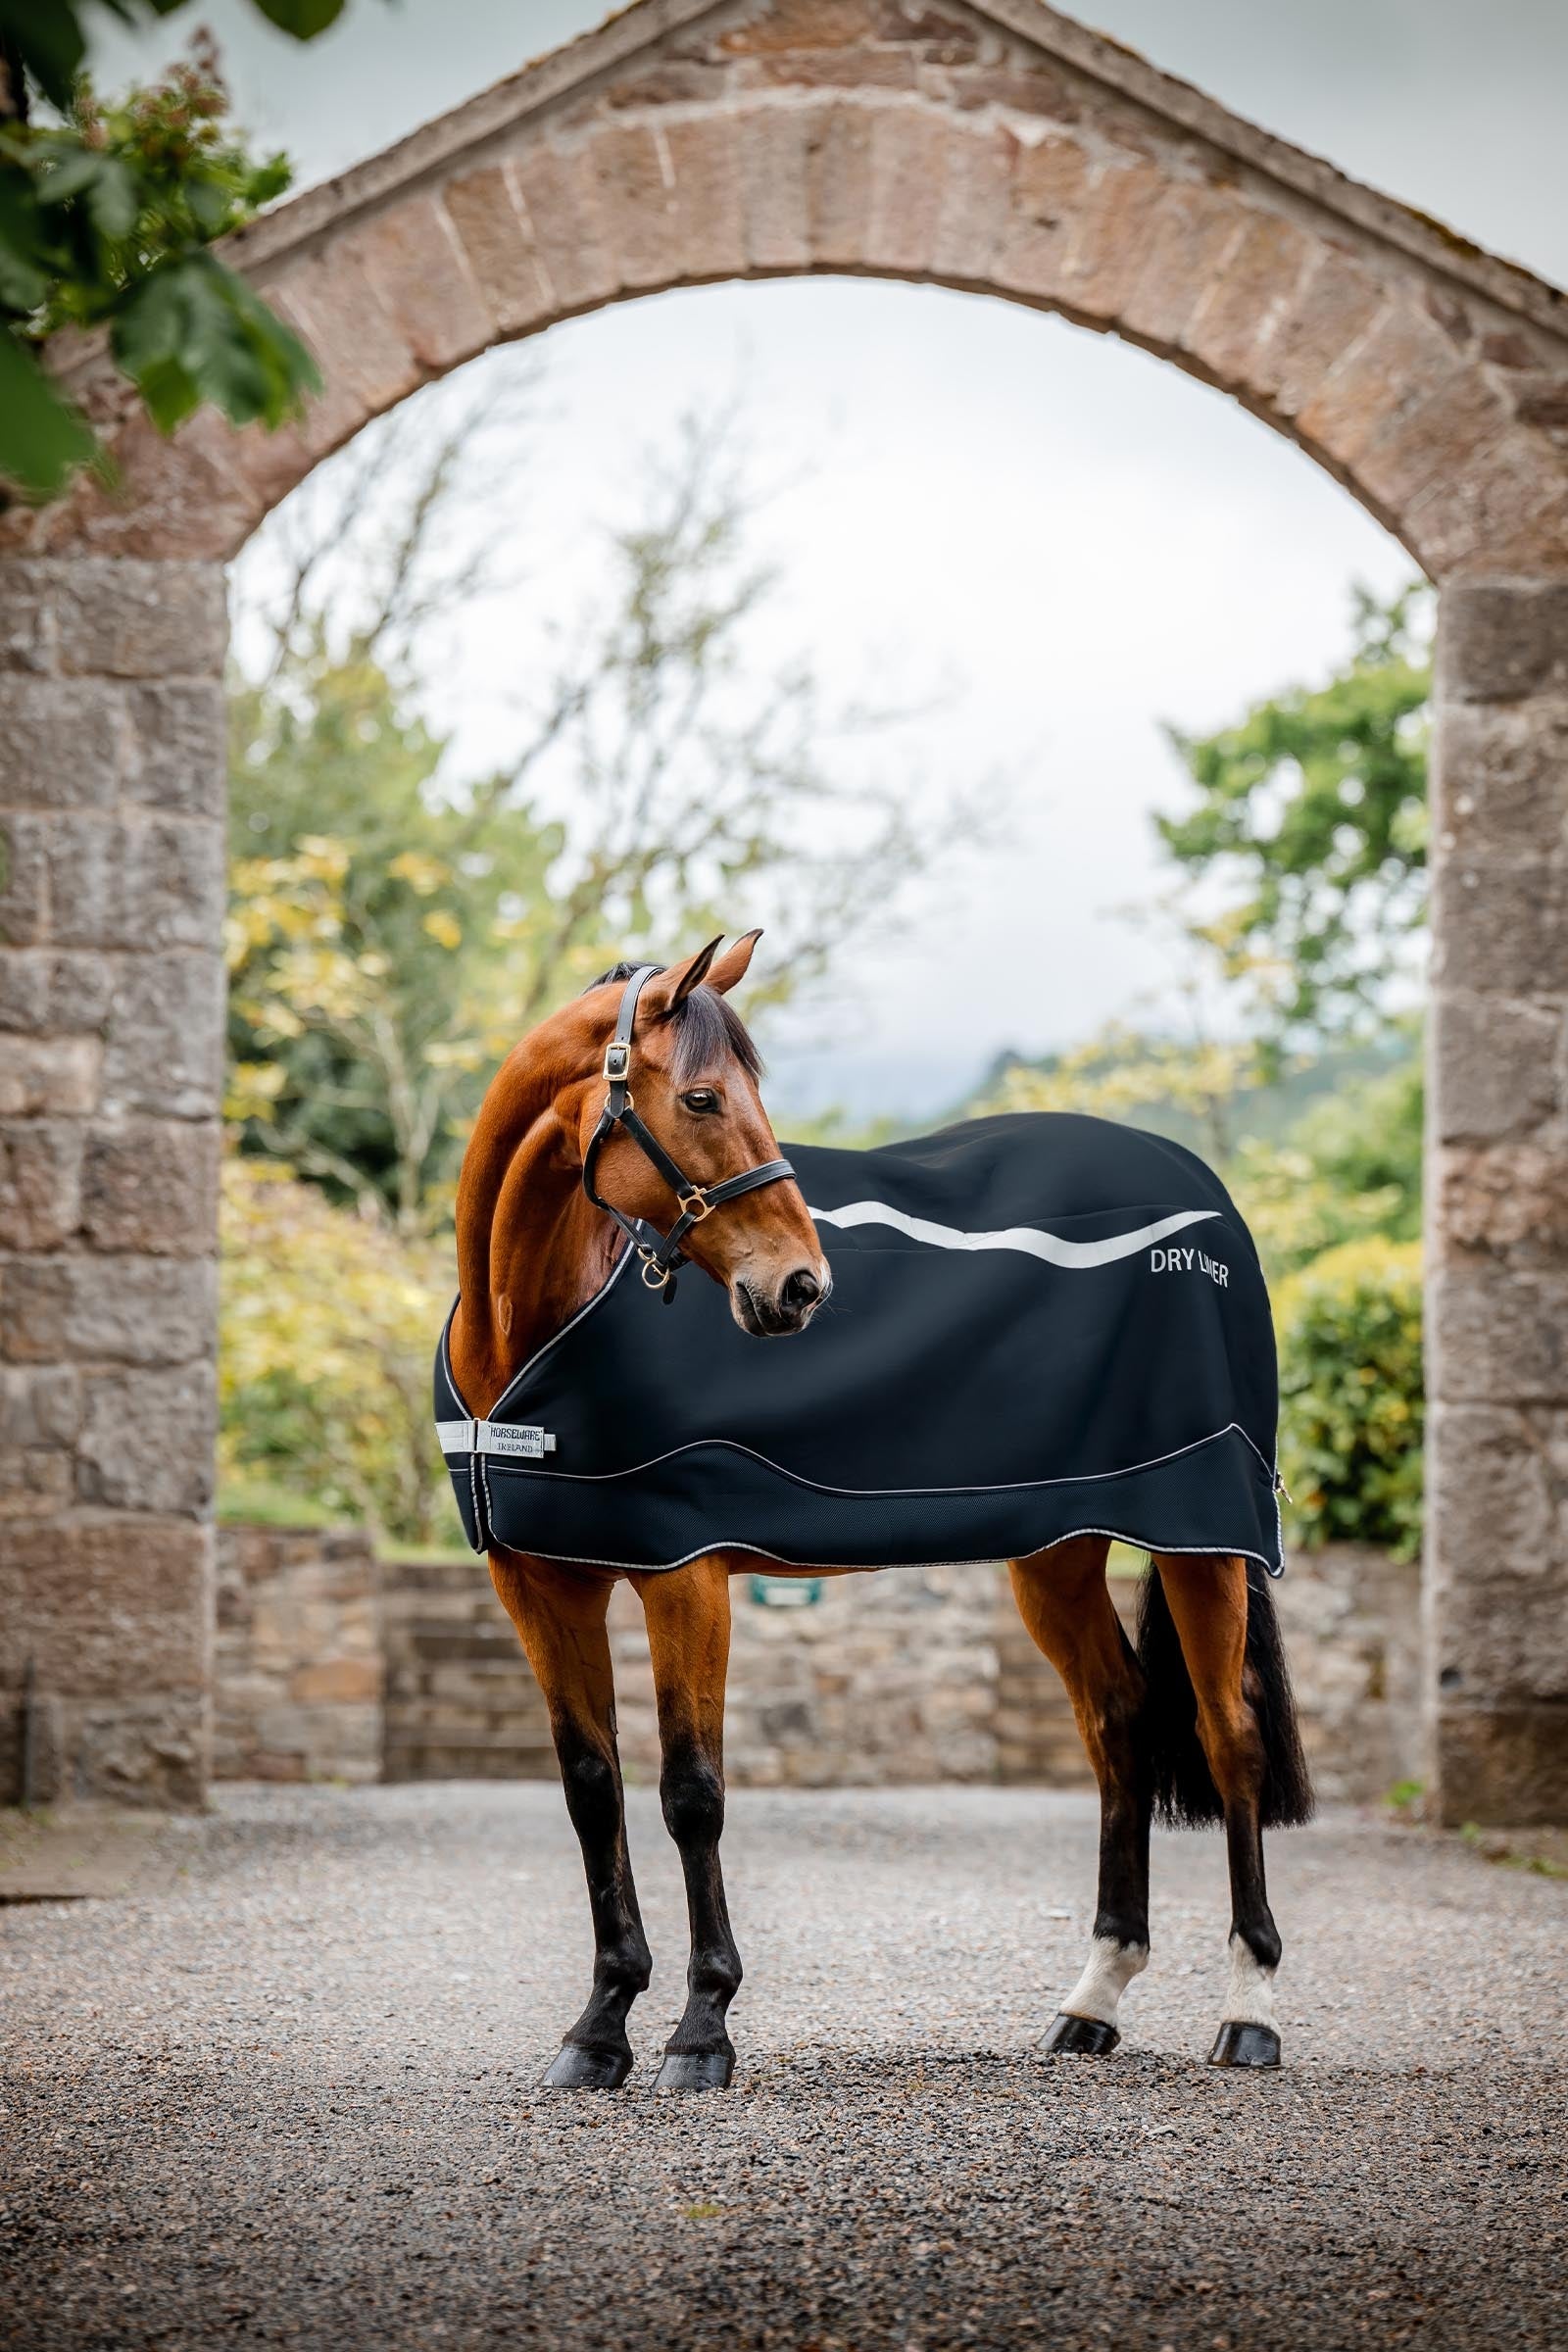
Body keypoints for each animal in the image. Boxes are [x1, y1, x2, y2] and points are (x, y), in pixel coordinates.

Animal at [444, 931, 1312, 2093]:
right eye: (703, 1097)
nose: (801, 1287)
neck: (531, 1326)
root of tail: (1199, 1192)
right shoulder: (541, 1584)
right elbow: (594, 1791)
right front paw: (598, 2028)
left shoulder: (685, 1576)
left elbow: (690, 1792)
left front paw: (700, 2031)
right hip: (1058, 1553)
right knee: (1119, 1723)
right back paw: (1091, 2001)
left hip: (1199, 1536)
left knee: (1231, 1739)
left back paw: (1249, 2010)